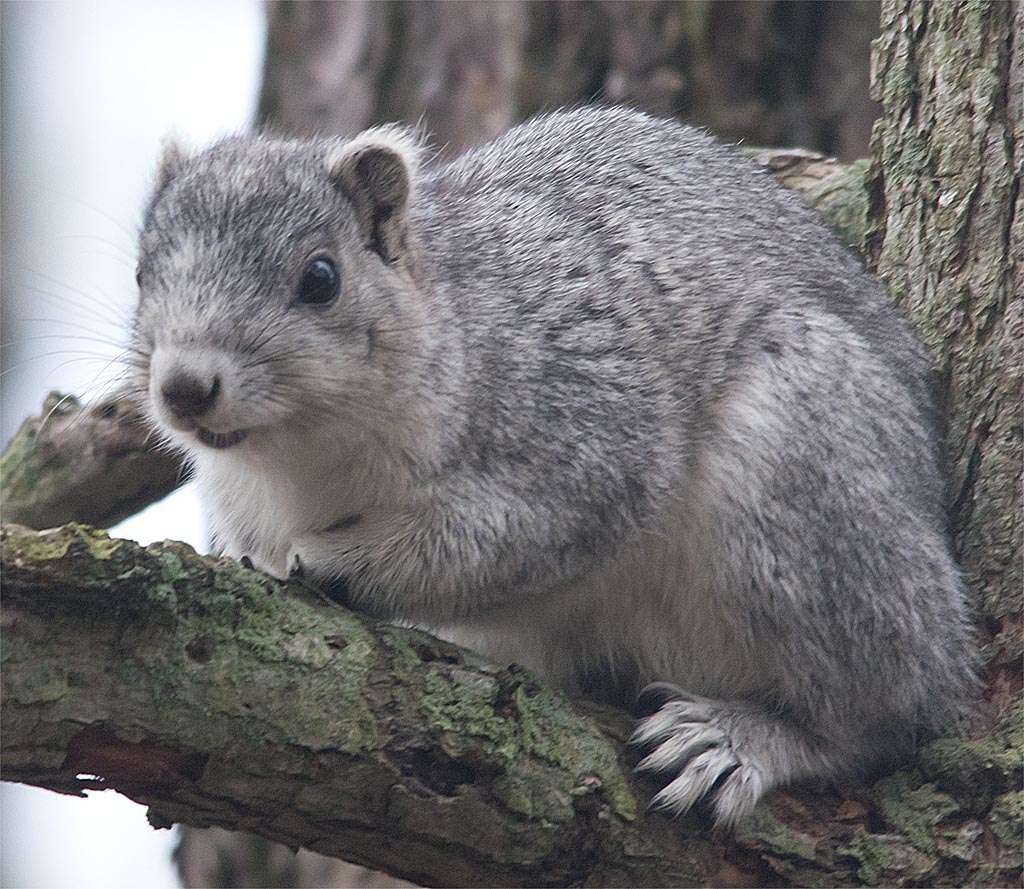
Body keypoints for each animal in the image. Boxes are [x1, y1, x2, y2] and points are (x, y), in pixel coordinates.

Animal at [130, 106, 974, 827]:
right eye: (141, 274)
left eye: (320, 278)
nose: (185, 387)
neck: (300, 461)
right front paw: (262, 557)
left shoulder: (586, 416)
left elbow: (514, 536)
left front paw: (340, 557)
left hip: (803, 480)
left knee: (886, 710)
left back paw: (745, 739)